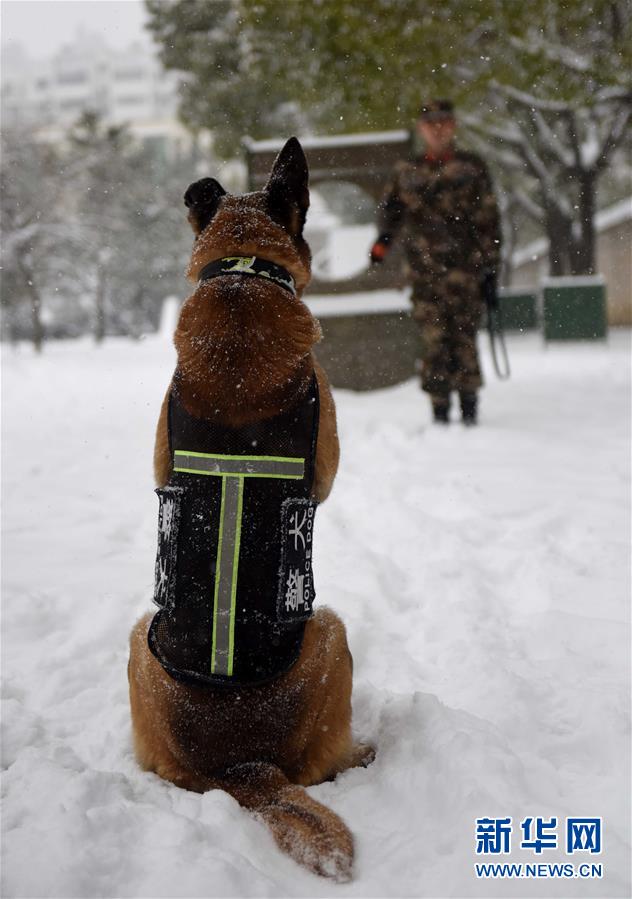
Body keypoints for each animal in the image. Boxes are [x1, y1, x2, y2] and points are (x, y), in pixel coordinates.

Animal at [129, 137, 376, 884]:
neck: (242, 271)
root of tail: (240, 765)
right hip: (331, 629)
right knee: (323, 767)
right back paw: (362, 751)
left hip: (135, 641)